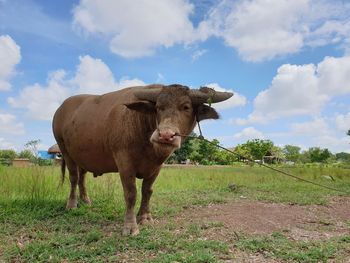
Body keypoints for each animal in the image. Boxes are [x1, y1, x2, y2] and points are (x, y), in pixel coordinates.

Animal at [52, 83, 232, 236]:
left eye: (186, 107)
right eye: (158, 108)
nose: (166, 135)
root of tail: (60, 110)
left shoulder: (156, 167)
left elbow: (147, 190)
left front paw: (144, 217)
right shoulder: (124, 162)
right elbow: (131, 193)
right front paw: (130, 226)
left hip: (82, 156)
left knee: (82, 177)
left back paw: (86, 200)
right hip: (64, 149)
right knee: (73, 178)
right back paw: (72, 204)